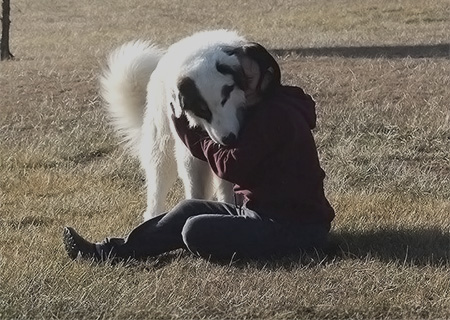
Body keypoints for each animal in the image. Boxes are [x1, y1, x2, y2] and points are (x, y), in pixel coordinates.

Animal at [100, 30, 280, 220]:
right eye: (203, 111)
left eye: (224, 99)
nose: (228, 139)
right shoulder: (191, 159)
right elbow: (196, 190)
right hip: (162, 149)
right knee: (157, 185)